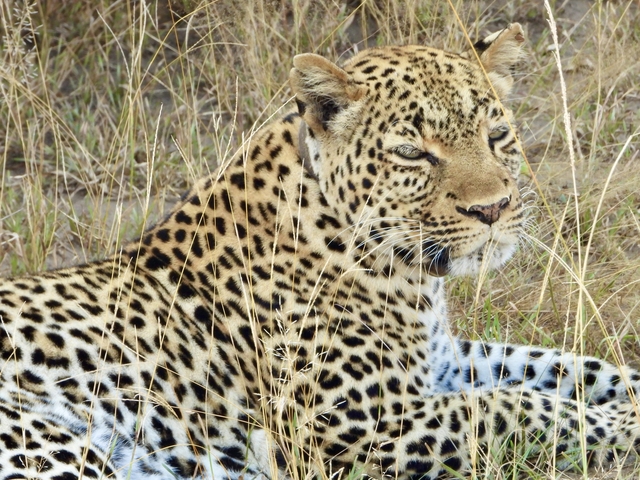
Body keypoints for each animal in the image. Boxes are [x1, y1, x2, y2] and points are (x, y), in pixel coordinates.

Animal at [0, 22, 639, 480]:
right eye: (412, 152)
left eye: (497, 135)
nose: (493, 209)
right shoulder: (359, 423)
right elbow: (514, 406)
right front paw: (626, 421)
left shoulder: (441, 361)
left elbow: (558, 365)